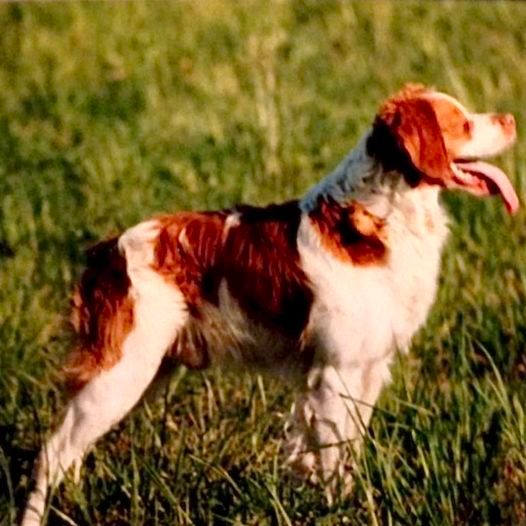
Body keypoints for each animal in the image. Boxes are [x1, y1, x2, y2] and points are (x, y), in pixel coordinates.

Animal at [22, 84, 518, 524]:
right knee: (50, 455)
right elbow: (333, 460)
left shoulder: (367, 370)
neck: (379, 218)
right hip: (119, 374)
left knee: (71, 455)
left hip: (140, 374)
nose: (511, 119)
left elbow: (344, 453)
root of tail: (108, 250)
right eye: (462, 123)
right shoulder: (335, 373)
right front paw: (338, 511)